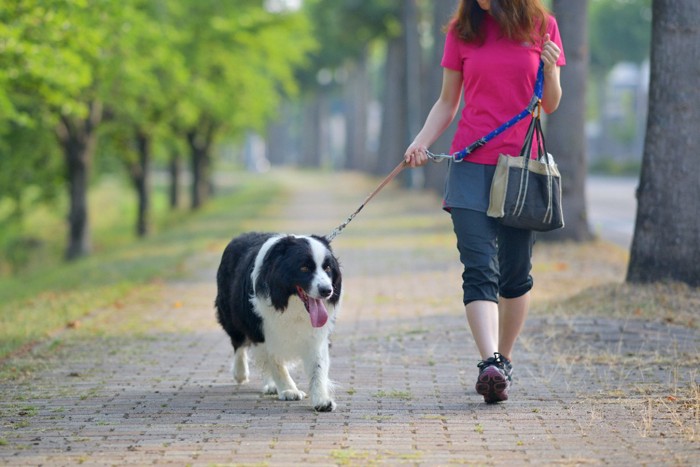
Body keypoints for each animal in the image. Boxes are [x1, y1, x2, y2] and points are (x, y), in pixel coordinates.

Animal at [215, 232, 344, 412]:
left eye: (327, 268)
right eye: (304, 268)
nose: (327, 290)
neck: (291, 303)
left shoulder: (315, 334)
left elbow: (317, 365)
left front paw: (322, 399)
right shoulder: (261, 331)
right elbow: (275, 361)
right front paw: (289, 390)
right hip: (231, 314)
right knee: (238, 342)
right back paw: (241, 373)